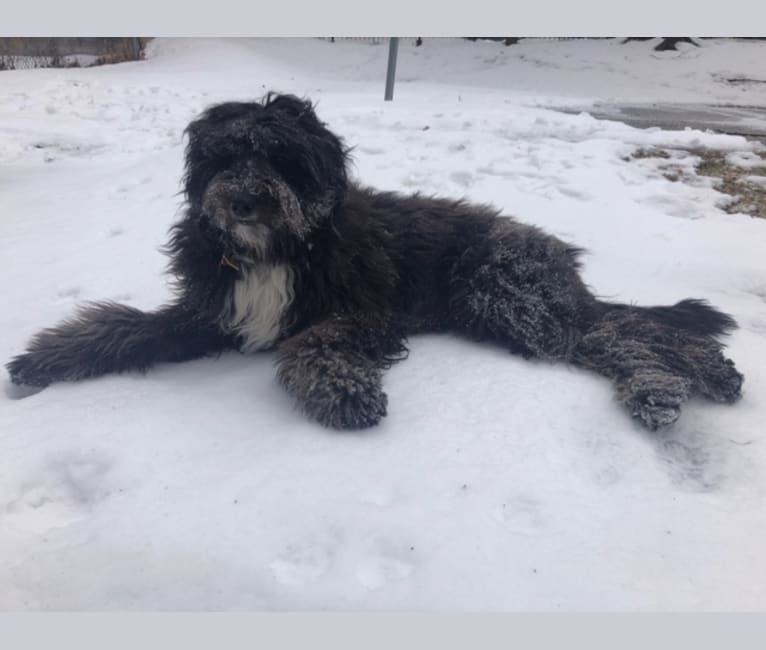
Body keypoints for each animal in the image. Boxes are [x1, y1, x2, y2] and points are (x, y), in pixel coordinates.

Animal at [4, 91, 744, 430]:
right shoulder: (212, 311)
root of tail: (557, 254)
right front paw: (44, 358)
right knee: (625, 330)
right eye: (226, 156)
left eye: (280, 159)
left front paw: (344, 392)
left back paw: (675, 386)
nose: (242, 200)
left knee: (623, 332)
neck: (280, 247)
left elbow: (316, 344)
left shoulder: (363, 312)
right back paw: (699, 378)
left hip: (507, 294)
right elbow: (122, 326)